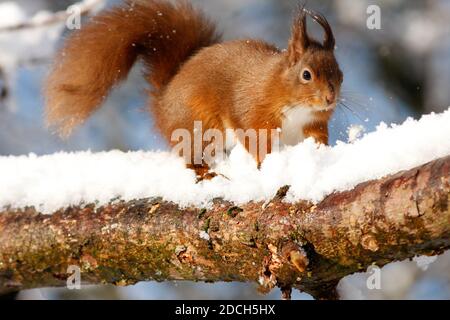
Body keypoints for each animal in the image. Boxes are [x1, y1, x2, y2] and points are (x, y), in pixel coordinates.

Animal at [44, 0, 342, 179]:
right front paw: (265, 167)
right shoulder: (254, 115)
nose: (330, 98)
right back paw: (206, 172)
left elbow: (317, 140)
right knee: (191, 157)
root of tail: (163, 102)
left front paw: (322, 158)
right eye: (306, 75)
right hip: (200, 126)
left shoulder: (312, 126)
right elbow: (257, 142)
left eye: (339, 72)